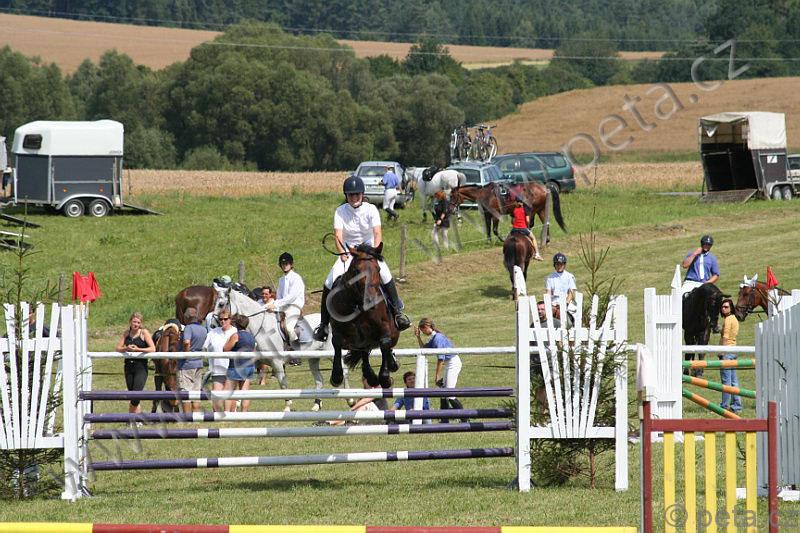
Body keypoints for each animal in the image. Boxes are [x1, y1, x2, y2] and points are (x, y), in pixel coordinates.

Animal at [327, 243, 399, 388]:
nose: (371, 302)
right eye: (357, 270)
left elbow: (385, 343)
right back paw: (370, 376)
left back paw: (391, 364)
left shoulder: (384, 327)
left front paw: (385, 377)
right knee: (364, 352)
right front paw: (336, 376)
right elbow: (336, 342)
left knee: (385, 347)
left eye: (378, 269)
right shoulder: (338, 330)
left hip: (394, 333)